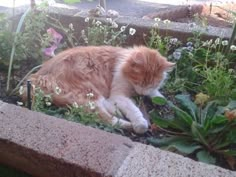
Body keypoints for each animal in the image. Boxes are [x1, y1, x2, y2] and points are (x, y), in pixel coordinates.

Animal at [28, 46, 175, 133]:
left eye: (151, 84)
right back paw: (128, 124)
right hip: (89, 92)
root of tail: (38, 77)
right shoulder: (118, 95)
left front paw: (161, 99)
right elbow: (133, 110)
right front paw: (140, 123)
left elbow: (157, 95)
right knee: (104, 118)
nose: (141, 93)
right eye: (139, 82)